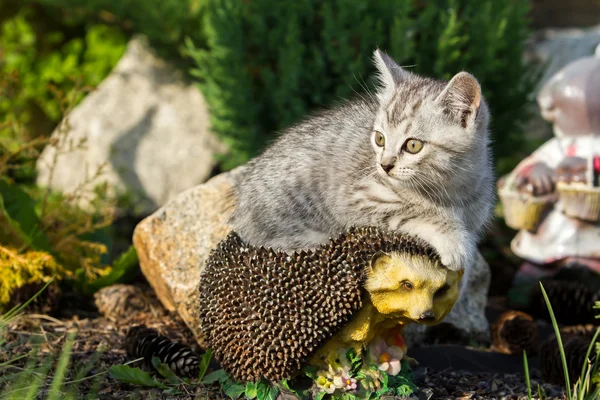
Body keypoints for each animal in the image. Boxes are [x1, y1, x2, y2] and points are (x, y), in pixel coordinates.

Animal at [230, 48, 492, 276]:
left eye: (413, 146)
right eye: (379, 138)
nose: (384, 165)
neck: (452, 190)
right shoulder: (358, 196)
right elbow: (415, 210)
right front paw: (453, 240)